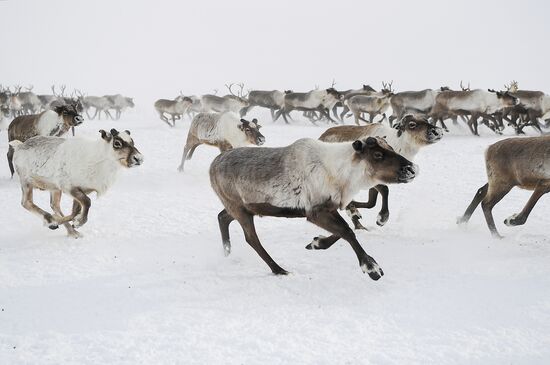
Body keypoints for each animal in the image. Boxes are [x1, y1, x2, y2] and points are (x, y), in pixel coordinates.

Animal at [211, 136, 418, 278]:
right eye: (378, 155)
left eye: (391, 147)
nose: (412, 169)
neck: (342, 175)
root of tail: (212, 165)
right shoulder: (315, 212)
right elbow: (347, 232)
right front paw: (371, 267)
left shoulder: (330, 207)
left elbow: (344, 230)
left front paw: (316, 243)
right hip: (239, 208)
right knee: (251, 239)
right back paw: (279, 270)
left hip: (242, 208)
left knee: (222, 217)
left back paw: (227, 252)